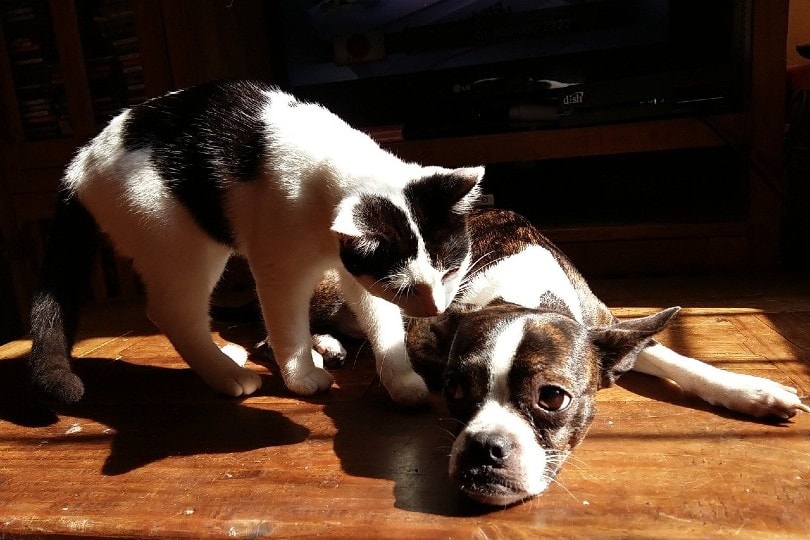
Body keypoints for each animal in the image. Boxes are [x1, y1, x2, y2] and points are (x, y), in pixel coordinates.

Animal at [30, 80, 480, 404]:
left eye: (449, 272)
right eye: (407, 288)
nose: (437, 308)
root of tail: (80, 162)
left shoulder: (357, 272)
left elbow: (382, 322)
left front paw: (401, 379)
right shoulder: (279, 269)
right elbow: (287, 327)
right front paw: (302, 375)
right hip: (182, 243)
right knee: (172, 313)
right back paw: (226, 374)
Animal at [306, 208, 804, 506]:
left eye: (552, 398)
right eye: (456, 390)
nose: (484, 446)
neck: (522, 290)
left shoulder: (609, 326)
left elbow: (680, 360)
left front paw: (753, 390)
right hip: (330, 286)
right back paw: (319, 350)